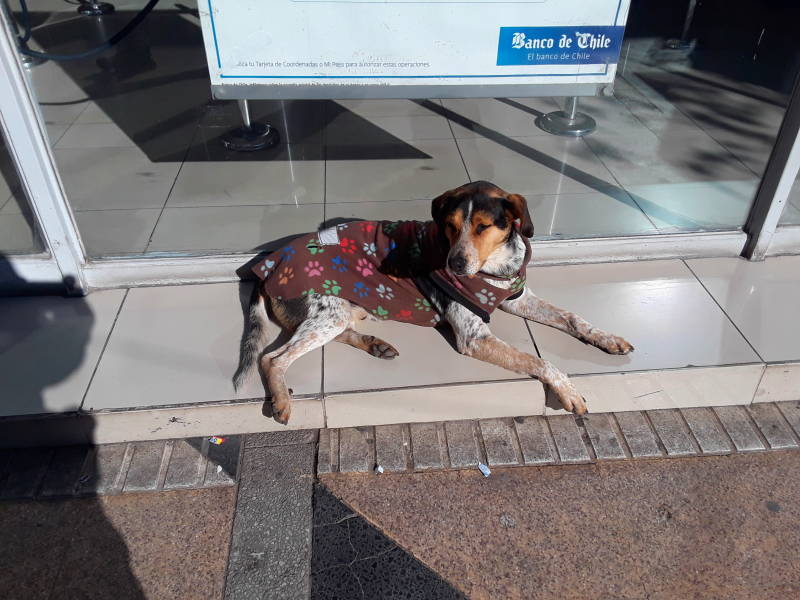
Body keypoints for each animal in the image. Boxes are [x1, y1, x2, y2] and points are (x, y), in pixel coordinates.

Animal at [234, 180, 636, 424]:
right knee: (272, 358)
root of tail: (267, 268)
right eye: (450, 225)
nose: (454, 265)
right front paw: (567, 389)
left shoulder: (519, 300)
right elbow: (539, 360)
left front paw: (608, 338)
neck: (497, 266)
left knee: (334, 333)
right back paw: (282, 400)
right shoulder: (475, 338)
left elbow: (573, 318)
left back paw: (376, 344)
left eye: (484, 226)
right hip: (327, 313)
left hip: (344, 311)